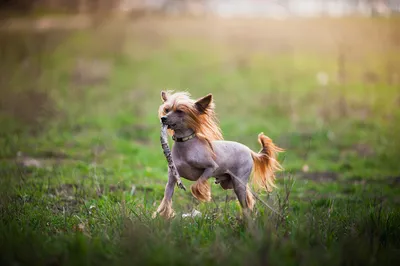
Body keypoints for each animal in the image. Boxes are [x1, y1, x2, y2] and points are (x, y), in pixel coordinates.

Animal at [154, 90, 284, 219]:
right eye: (166, 110)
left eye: (180, 111)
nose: (163, 118)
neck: (185, 144)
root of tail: (250, 151)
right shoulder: (172, 178)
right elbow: (166, 199)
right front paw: (162, 216)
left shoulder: (211, 167)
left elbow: (197, 184)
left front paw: (202, 194)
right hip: (229, 183)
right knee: (247, 199)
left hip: (239, 183)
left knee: (245, 204)